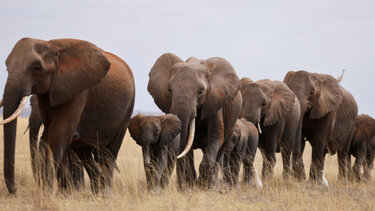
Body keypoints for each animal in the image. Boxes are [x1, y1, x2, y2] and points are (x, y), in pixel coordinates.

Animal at [0, 38, 136, 195]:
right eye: (6, 67)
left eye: (37, 67)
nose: (15, 190)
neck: (52, 46)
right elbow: (53, 132)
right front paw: (65, 194)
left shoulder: (78, 90)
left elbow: (59, 132)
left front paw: (47, 195)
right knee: (84, 153)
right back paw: (96, 192)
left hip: (128, 107)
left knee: (109, 153)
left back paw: (105, 194)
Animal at [147, 53, 241, 189]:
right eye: (169, 90)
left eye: (201, 91)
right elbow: (186, 146)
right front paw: (189, 188)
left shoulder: (215, 102)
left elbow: (215, 137)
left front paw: (204, 187)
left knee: (220, 151)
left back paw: (213, 186)